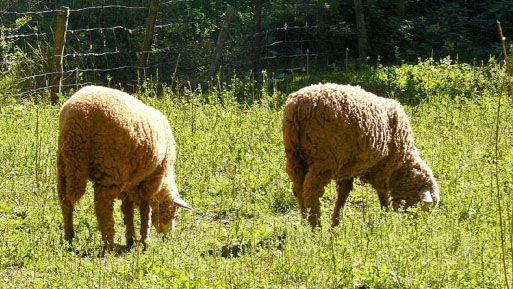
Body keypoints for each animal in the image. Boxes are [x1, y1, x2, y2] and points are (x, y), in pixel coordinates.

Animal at [56, 84, 192, 249]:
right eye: (174, 213)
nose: (167, 237)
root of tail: (78, 116)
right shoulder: (150, 181)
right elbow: (145, 210)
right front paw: (144, 240)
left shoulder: (129, 182)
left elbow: (128, 208)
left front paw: (130, 238)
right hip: (109, 169)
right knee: (103, 210)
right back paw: (109, 245)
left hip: (64, 165)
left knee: (65, 203)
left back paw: (69, 237)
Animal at [282, 82, 438, 227]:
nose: (413, 225)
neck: (402, 162)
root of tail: (298, 107)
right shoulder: (382, 167)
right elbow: (382, 192)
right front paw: (386, 216)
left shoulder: (349, 167)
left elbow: (344, 192)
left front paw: (335, 223)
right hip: (324, 159)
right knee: (311, 193)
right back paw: (316, 228)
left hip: (294, 154)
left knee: (298, 189)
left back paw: (304, 223)